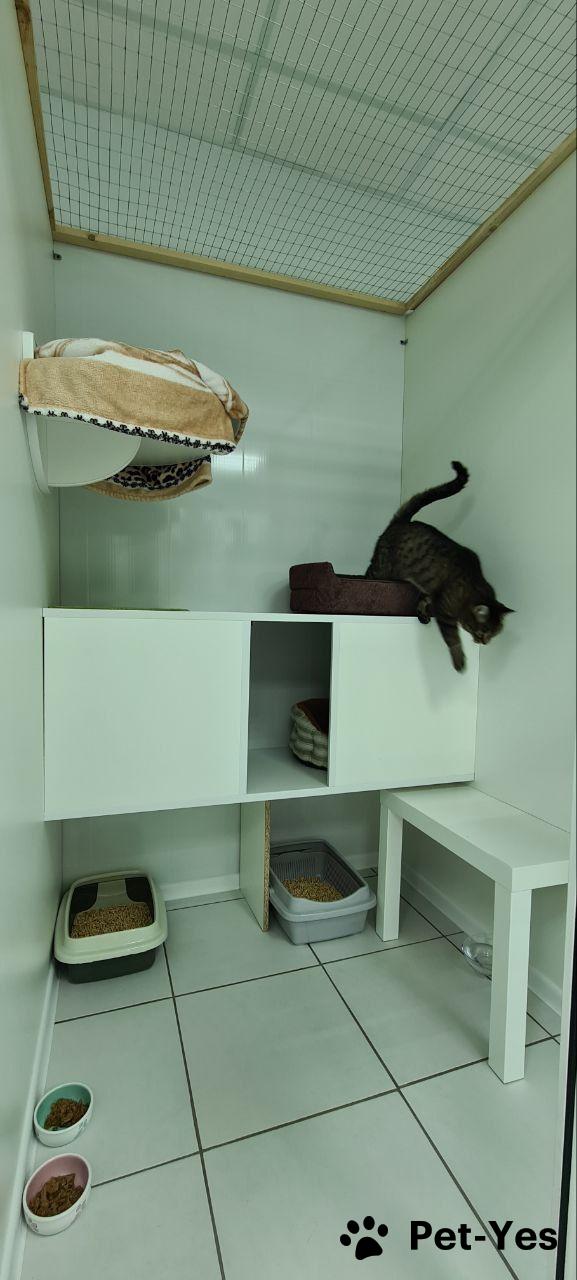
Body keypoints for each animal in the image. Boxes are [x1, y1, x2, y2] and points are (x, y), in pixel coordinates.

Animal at [366, 461, 513, 671]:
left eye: (493, 634)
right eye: (482, 632)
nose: (484, 642)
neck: (473, 587)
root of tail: (402, 522)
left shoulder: (432, 591)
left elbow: (423, 601)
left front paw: (422, 613)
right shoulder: (445, 611)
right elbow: (452, 639)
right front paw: (459, 661)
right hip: (381, 568)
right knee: (368, 574)